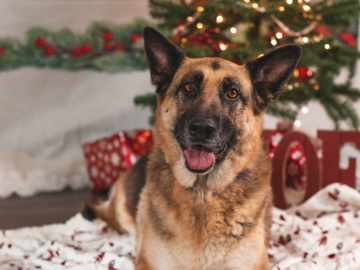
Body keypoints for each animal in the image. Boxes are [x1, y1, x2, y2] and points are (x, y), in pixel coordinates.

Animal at [83, 26, 300, 268]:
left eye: (232, 93)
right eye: (189, 87)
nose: (202, 129)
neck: (203, 193)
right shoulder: (149, 264)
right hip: (121, 215)